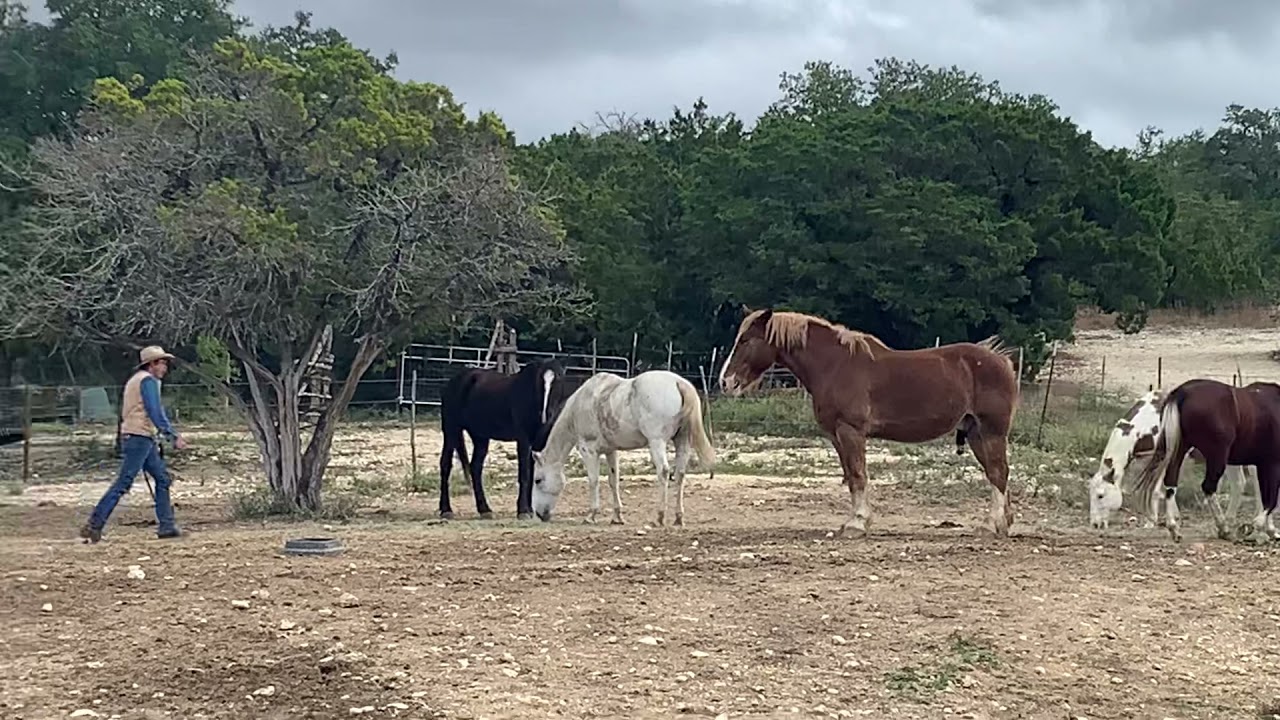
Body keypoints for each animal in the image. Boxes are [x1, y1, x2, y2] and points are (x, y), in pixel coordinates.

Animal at [437, 357, 571, 520]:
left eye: (558, 379)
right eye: (540, 380)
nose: (546, 414)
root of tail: (454, 382)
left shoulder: (538, 442)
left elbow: (532, 473)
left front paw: (530, 510)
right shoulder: (523, 440)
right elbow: (524, 474)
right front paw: (523, 511)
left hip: (480, 437)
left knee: (475, 468)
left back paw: (484, 510)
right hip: (451, 431)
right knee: (445, 465)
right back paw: (446, 510)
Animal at [530, 370, 715, 526]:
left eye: (538, 480)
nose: (539, 515)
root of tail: (678, 382)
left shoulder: (588, 450)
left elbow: (593, 480)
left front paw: (591, 515)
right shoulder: (611, 451)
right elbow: (613, 481)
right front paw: (617, 517)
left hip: (657, 442)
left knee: (663, 472)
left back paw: (659, 517)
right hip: (682, 442)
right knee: (680, 474)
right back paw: (678, 518)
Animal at [718, 308, 1020, 537]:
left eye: (746, 340)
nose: (726, 382)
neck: (834, 365)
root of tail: (1001, 360)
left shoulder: (850, 432)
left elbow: (858, 474)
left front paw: (857, 523)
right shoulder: (836, 436)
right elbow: (851, 477)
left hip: (991, 431)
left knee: (998, 473)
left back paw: (992, 525)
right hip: (975, 433)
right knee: (996, 473)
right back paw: (1000, 523)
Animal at [1086, 388, 1258, 530]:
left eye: (1100, 495)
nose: (1095, 524)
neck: (1150, 421)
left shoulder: (1163, 460)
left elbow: (1155, 490)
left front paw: (1152, 521)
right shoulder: (1146, 463)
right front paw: (1172, 518)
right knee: (1239, 484)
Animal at [1132, 378, 1280, 542]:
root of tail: (1182, 392)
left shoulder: (1263, 464)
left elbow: (1265, 495)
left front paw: (1269, 530)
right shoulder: (1272, 464)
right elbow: (1271, 499)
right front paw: (1257, 527)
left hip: (1180, 448)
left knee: (1171, 481)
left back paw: (1174, 527)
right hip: (1217, 456)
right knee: (1208, 487)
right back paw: (1223, 528)